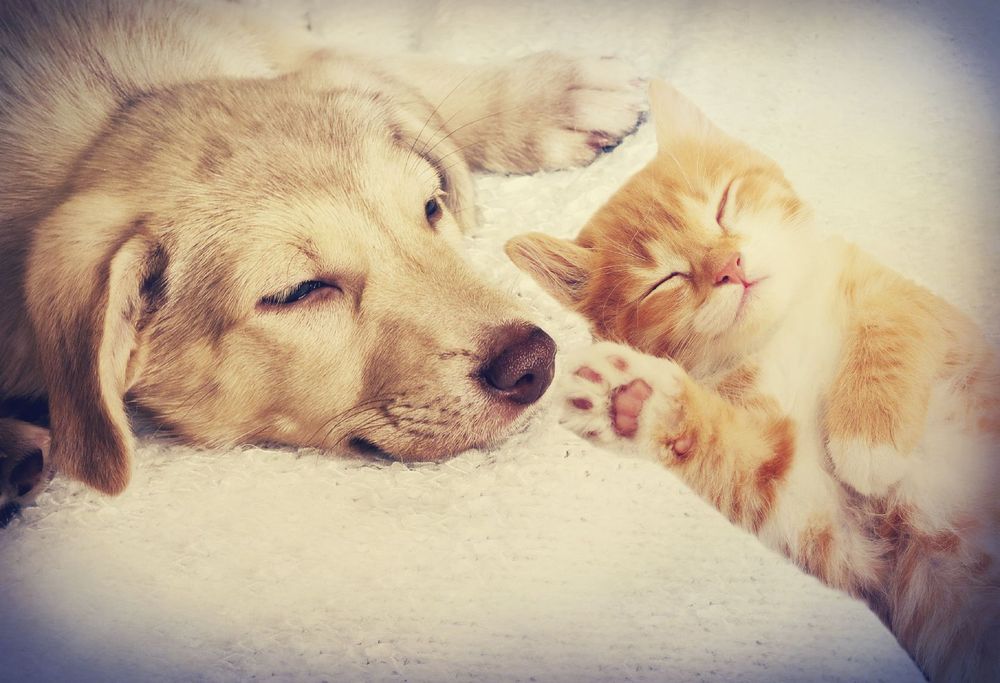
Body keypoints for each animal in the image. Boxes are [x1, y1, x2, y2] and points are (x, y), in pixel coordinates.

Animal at [505, 81, 999, 682]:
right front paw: (636, 402)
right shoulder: (847, 543)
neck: (783, 330)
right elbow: (750, 466)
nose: (730, 266)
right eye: (664, 281)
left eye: (723, 205)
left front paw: (869, 438)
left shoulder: (921, 311)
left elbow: (891, 321)